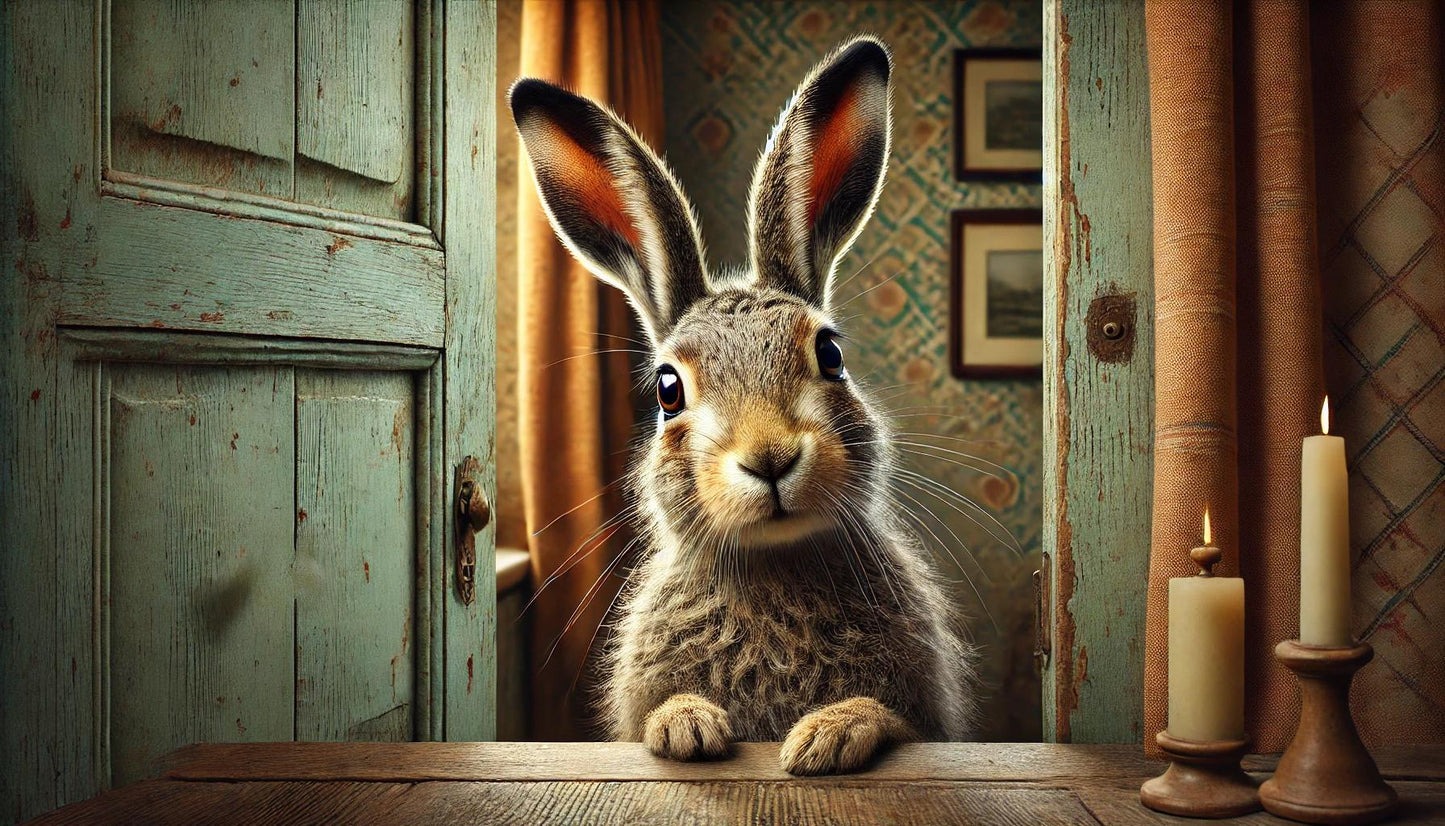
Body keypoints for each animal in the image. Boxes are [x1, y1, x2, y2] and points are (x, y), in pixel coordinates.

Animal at [510, 36, 977, 776]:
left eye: (830, 354)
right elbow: (656, 718)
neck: (772, 561)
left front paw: (831, 733)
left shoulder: (926, 712)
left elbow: (894, 721)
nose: (770, 458)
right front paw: (686, 725)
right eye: (668, 390)